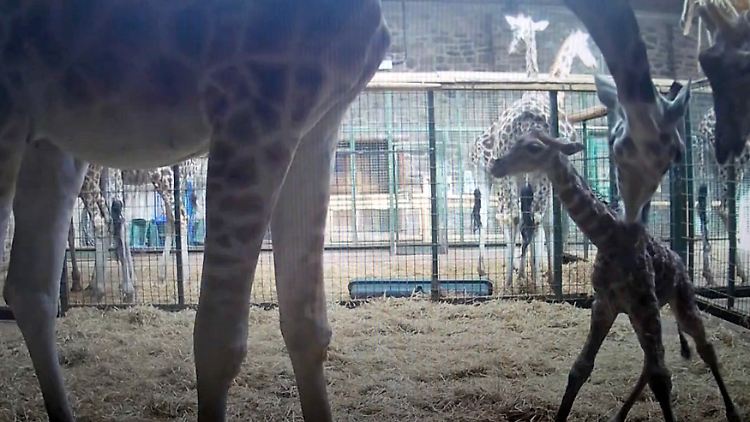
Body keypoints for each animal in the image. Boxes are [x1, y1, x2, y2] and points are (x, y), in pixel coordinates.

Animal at [0, 2, 389, 421]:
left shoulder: (317, 122)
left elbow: (308, 326)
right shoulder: (252, 113)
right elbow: (220, 341)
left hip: (48, 142)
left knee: (30, 289)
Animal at [491, 130, 740, 422]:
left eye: (533, 147)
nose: (497, 165)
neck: (607, 237)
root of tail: (679, 260)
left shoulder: (644, 304)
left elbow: (661, 379)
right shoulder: (605, 305)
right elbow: (580, 368)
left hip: (682, 302)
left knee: (704, 348)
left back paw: (733, 412)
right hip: (639, 314)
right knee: (650, 363)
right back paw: (618, 416)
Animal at [697, 108, 750, 285]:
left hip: (710, 165)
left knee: (703, 206)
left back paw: (709, 274)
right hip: (733, 164)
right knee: (723, 207)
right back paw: (740, 273)